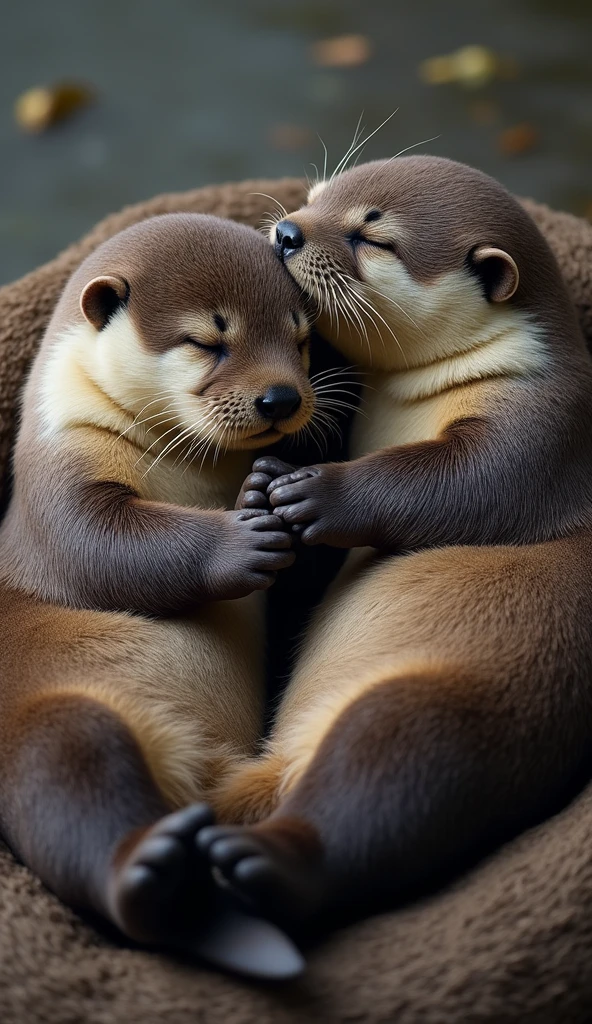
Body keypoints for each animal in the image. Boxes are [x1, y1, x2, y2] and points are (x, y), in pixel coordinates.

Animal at [0, 214, 313, 974]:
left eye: (300, 337)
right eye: (208, 339)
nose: (282, 398)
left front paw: (268, 487)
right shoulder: (60, 480)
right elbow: (108, 544)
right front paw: (241, 542)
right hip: (58, 725)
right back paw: (152, 874)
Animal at [198, 159, 592, 937]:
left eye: (370, 236)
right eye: (316, 196)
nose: (287, 231)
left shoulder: (541, 430)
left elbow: (450, 485)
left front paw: (319, 495)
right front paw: (262, 486)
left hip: (422, 721)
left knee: (365, 806)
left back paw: (259, 863)